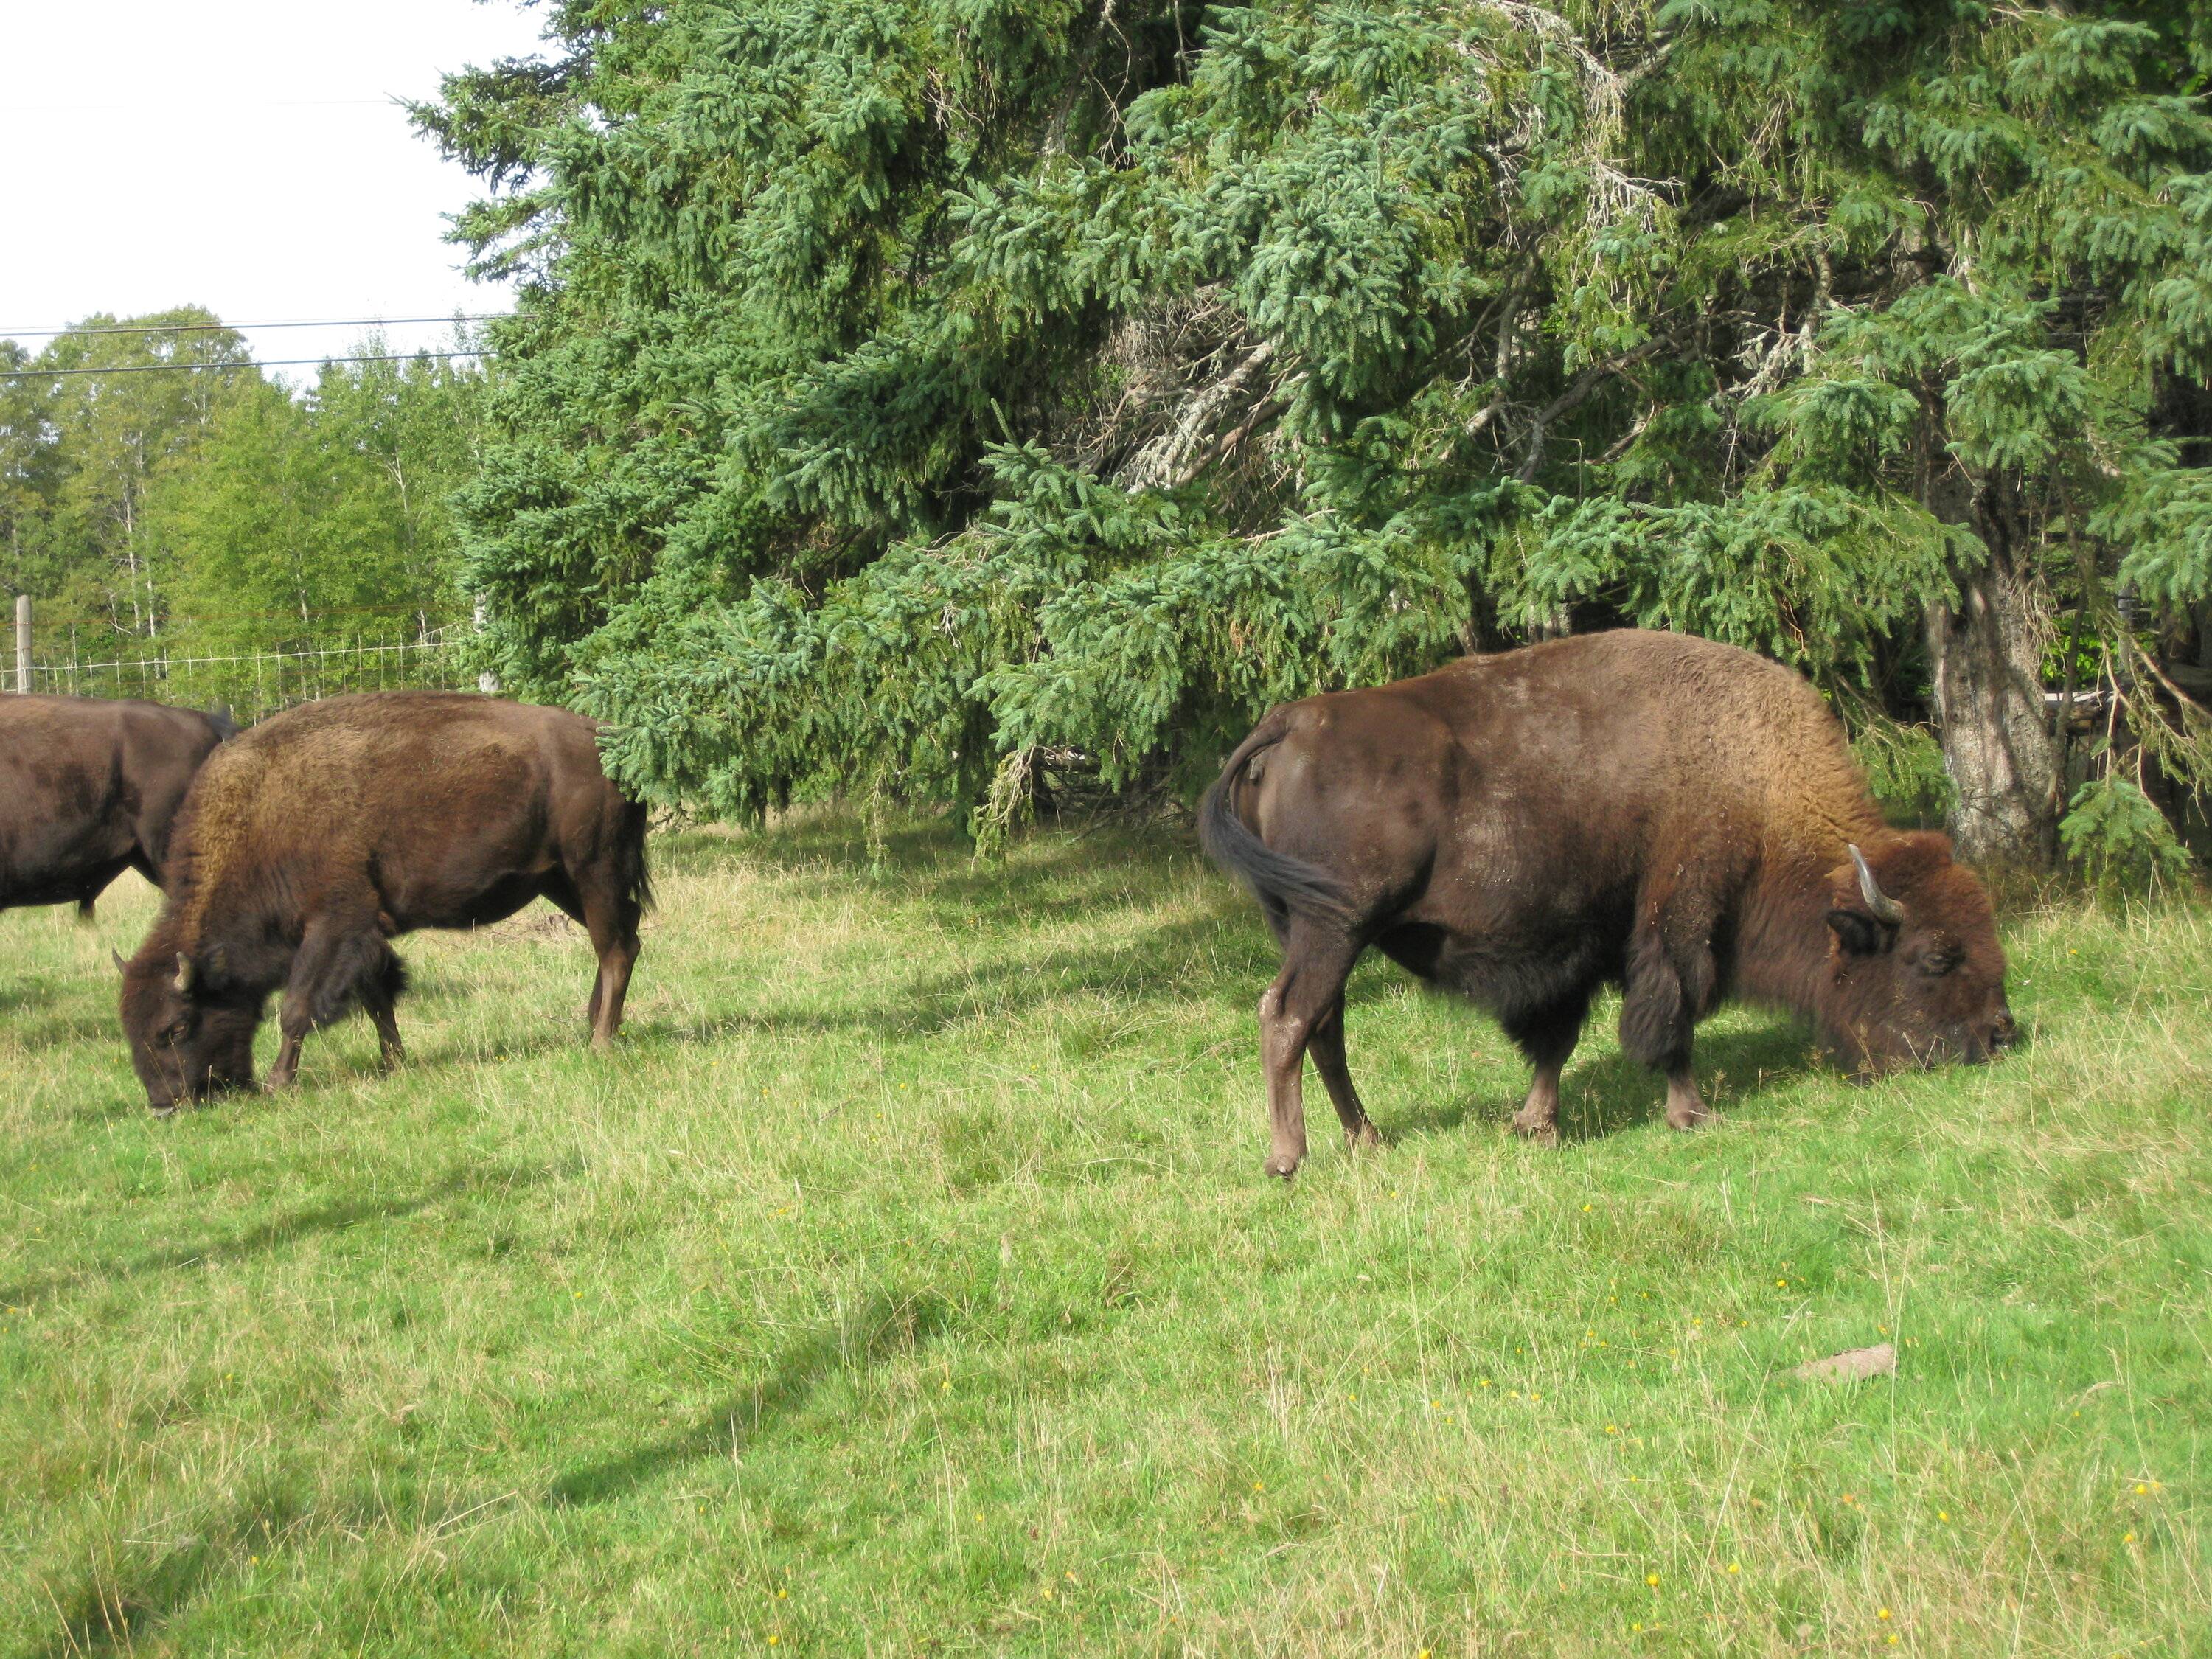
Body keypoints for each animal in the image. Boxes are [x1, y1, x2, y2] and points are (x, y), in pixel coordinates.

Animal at [119, 692, 650, 1113]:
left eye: (174, 1028)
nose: (165, 1106)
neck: (261, 816)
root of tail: (607, 740)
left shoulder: (332, 924)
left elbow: (297, 1007)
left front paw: (278, 1083)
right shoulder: (364, 935)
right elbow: (378, 998)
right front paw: (394, 1062)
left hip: (593, 869)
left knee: (615, 948)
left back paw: (600, 1041)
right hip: (559, 880)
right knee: (625, 936)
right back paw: (595, 1024)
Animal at [1200, 629, 2015, 1176]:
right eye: (1935, 957)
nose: (2001, 1035)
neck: (1750, 777)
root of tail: (1291, 722)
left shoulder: (1584, 942)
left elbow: (1557, 1038)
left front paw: (1537, 1125)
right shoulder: (1679, 916)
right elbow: (1673, 1013)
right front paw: (1692, 1114)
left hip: (1310, 930)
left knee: (1324, 1028)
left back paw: (1365, 1140)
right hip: (1334, 927)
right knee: (1288, 1016)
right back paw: (1287, 1158)